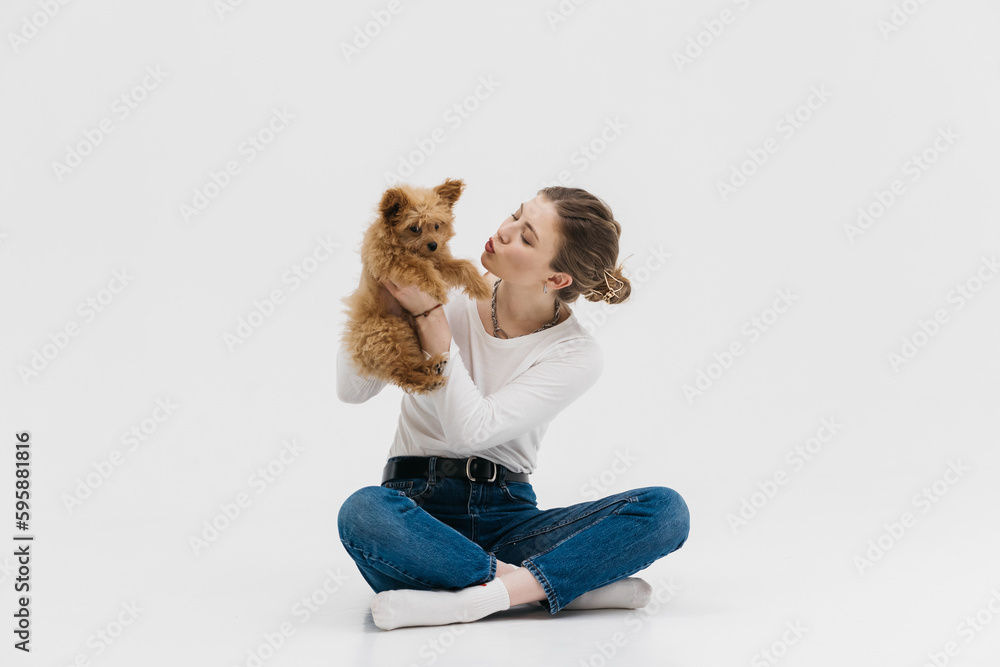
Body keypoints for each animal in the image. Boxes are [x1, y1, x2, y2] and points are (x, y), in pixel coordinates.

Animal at [342, 180, 490, 394]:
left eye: (436, 225)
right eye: (414, 228)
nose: (434, 245)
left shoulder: (441, 263)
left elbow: (463, 265)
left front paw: (481, 287)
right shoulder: (391, 260)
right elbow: (420, 266)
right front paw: (438, 290)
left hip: (406, 335)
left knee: (411, 364)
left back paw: (432, 365)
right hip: (390, 333)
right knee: (402, 373)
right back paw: (429, 381)